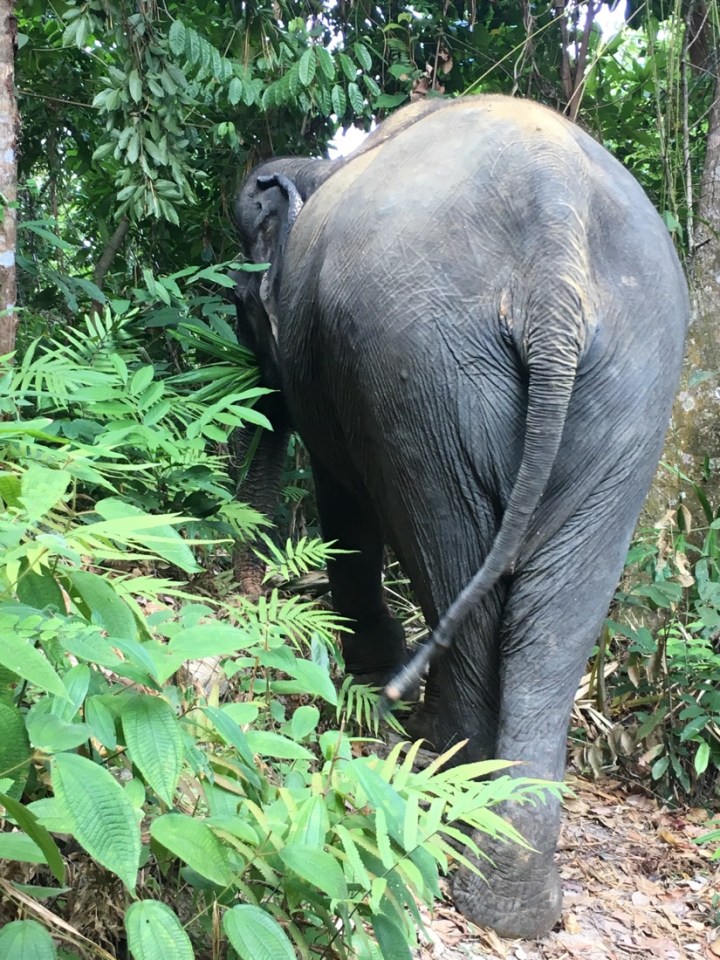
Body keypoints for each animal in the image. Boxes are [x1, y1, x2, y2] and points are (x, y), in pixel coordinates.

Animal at [230, 95, 689, 939]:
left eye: (241, 310)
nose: (253, 564)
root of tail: (555, 234)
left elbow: (344, 498)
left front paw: (371, 669)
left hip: (421, 372)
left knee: (452, 563)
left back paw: (438, 772)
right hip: (625, 391)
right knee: (555, 620)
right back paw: (510, 893)